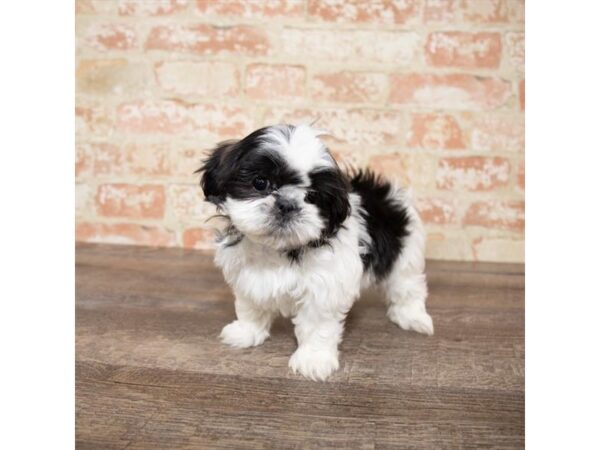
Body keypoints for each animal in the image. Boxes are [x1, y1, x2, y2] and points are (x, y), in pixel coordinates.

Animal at [199, 123, 434, 380]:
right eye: (260, 182)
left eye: (312, 196)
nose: (287, 205)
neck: (280, 249)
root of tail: (389, 192)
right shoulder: (247, 278)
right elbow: (250, 306)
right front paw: (246, 332)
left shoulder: (324, 288)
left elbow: (317, 324)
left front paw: (313, 359)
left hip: (405, 253)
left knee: (407, 286)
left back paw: (412, 316)